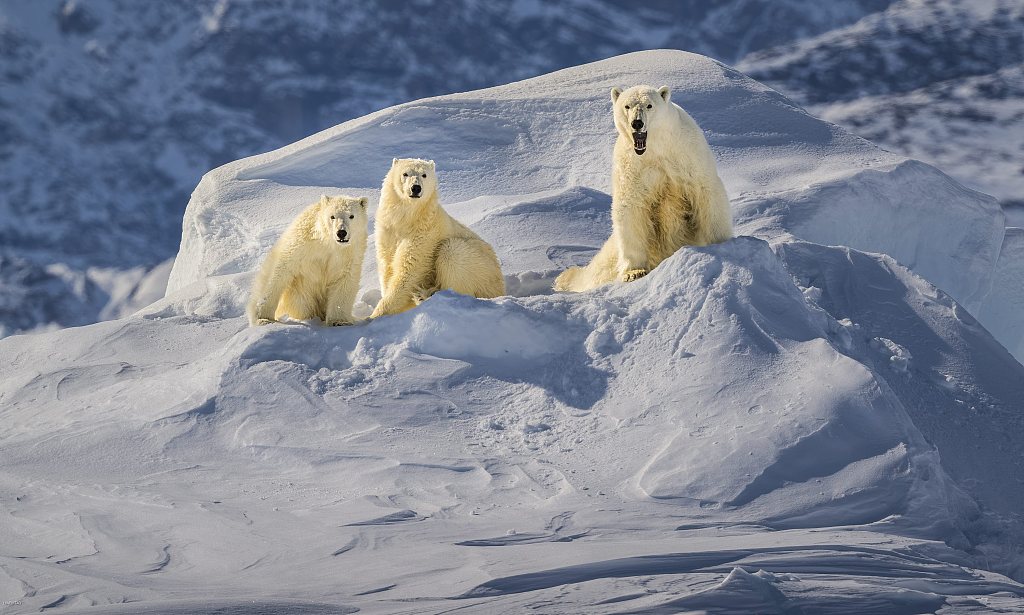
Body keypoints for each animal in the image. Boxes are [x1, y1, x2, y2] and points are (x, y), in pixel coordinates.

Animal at [246, 194, 368, 325]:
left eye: (351, 216)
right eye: (332, 216)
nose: (341, 232)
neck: (329, 243)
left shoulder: (349, 254)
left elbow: (344, 280)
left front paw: (339, 321)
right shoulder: (302, 244)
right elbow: (280, 270)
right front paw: (263, 318)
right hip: (299, 295)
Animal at [372, 155, 507, 319]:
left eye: (424, 175)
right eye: (405, 173)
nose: (416, 188)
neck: (409, 219)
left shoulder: (425, 235)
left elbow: (408, 272)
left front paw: (373, 316)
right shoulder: (388, 232)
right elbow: (387, 266)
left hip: (480, 266)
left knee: (451, 254)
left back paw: (425, 295)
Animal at [557, 84, 733, 292]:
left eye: (649, 105)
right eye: (627, 106)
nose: (637, 123)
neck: (655, 148)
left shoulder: (687, 155)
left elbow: (706, 190)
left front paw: (720, 244)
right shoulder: (632, 166)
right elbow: (630, 207)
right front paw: (634, 272)